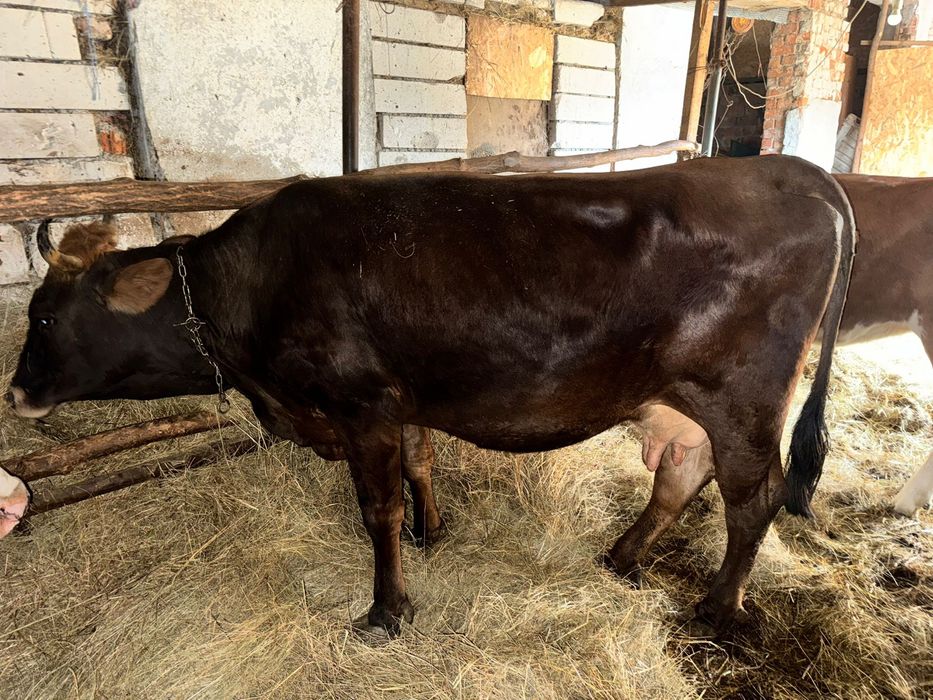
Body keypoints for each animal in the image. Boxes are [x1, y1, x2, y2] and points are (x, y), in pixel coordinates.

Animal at [6, 156, 854, 638]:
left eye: (42, 315)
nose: (15, 393)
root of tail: (788, 169)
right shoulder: (400, 402)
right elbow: (422, 463)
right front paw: (431, 531)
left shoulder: (362, 405)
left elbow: (375, 508)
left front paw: (387, 609)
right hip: (682, 401)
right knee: (681, 474)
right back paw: (619, 559)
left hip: (742, 397)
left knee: (754, 497)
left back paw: (718, 610)